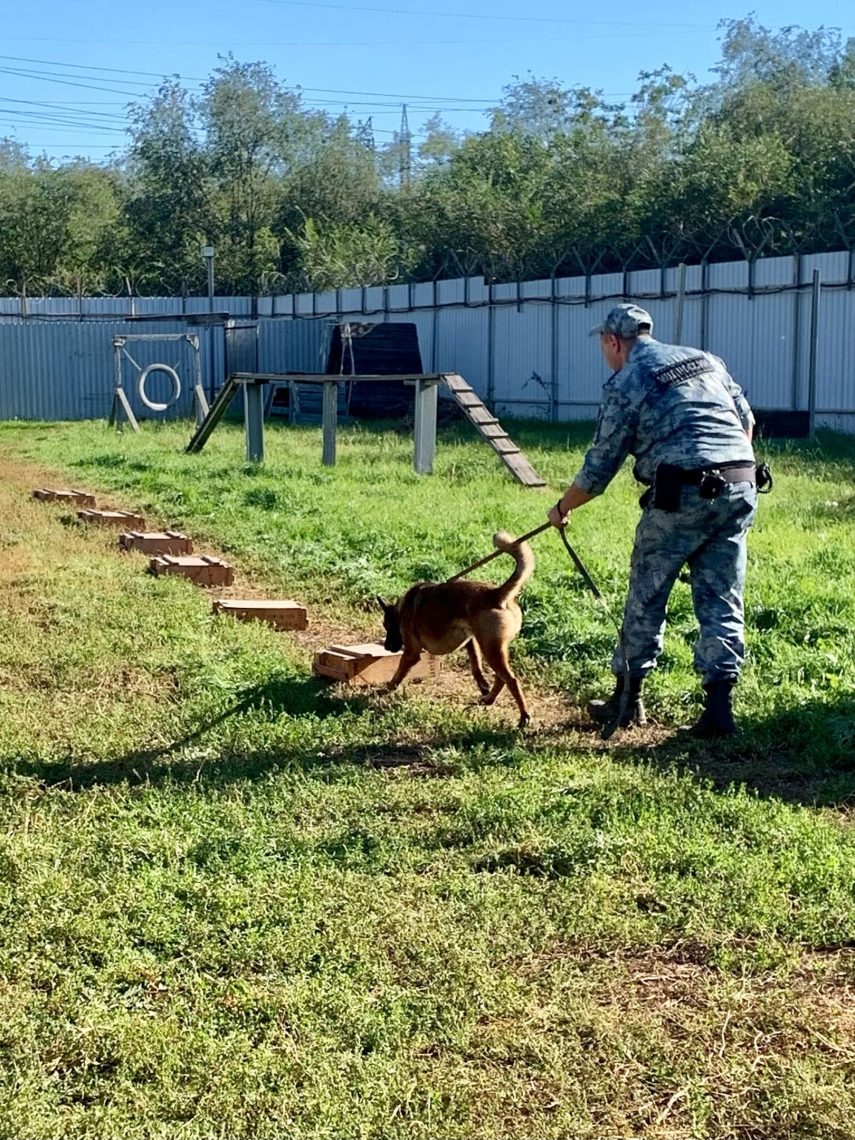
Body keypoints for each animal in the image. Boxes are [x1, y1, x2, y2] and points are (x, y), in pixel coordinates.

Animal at [376, 528, 533, 725]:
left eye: (387, 625)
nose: (386, 647)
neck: (403, 607)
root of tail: (496, 594)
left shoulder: (411, 652)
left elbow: (399, 671)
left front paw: (388, 688)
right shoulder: (471, 640)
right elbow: (476, 667)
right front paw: (483, 686)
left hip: (491, 649)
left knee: (511, 680)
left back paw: (524, 716)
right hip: (494, 648)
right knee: (501, 678)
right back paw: (489, 698)